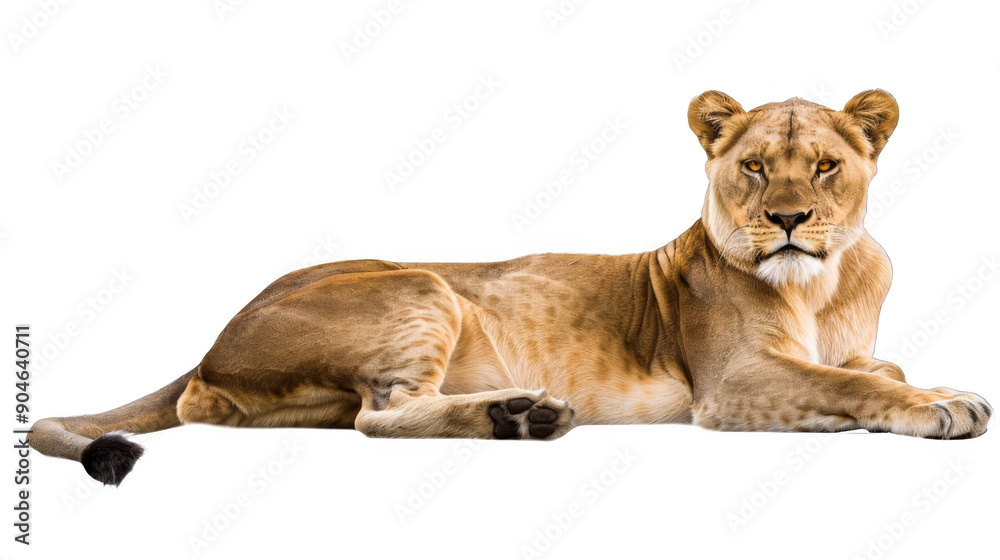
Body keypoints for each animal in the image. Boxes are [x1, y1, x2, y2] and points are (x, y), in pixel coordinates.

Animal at [31, 90, 992, 486]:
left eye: (826, 167)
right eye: (754, 167)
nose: (790, 219)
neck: (822, 286)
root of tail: (209, 343)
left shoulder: (846, 348)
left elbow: (875, 369)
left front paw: (918, 388)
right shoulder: (729, 385)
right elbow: (854, 384)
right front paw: (944, 405)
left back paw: (518, 414)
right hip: (421, 286)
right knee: (380, 417)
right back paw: (521, 416)